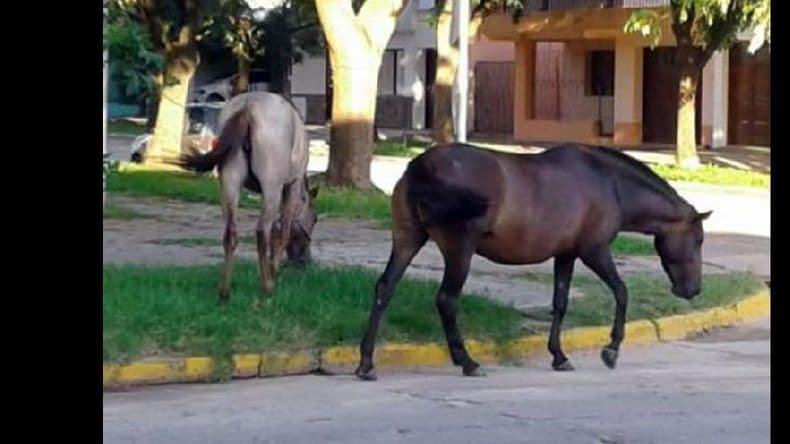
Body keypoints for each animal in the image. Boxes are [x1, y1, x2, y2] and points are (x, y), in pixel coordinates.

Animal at [175, 92, 318, 299]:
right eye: (315, 219)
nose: (305, 261)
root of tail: (248, 108)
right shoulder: (290, 187)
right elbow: (281, 233)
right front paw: (274, 272)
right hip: (271, 187)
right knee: (261, 233)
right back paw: (267, 287)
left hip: (229, 184)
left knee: (230, 233)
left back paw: (225, 292)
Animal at [355, 142, 711, 380]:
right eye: (698, 239)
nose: (693, 289)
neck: (609, 183)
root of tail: (422, 165)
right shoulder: (594, 251)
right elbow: (622, 292)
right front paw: (611, 350)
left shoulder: (566, 255)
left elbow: (560, 303)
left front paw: (559, 356)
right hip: (459, 251)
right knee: (446, 300)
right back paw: (467, 362)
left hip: (407, 240)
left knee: (384, 289)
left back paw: (366, 363)